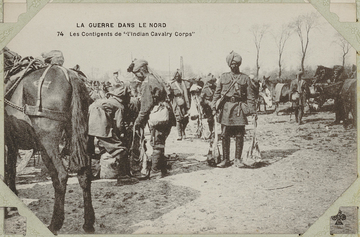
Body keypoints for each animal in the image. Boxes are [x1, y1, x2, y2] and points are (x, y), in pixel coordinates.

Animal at [4, 64, 95, 234]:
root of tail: (69, 75)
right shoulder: (12, 145)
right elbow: (11, 170)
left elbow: (8, 171)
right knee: (84, 174)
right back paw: (88, 223)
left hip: (48, 143)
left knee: (61, 175)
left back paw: (55, 223)